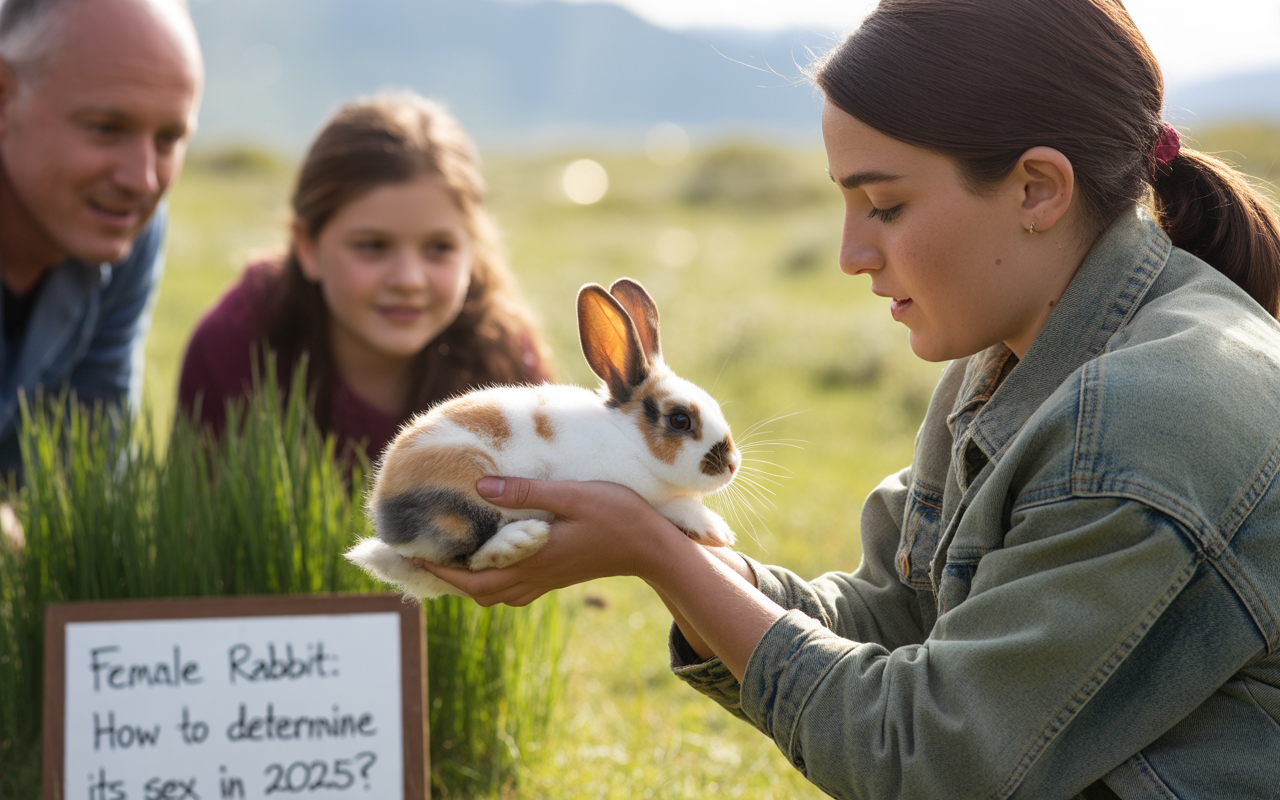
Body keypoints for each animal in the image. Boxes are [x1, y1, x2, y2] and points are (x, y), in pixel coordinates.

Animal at [345, 278, 741, 599]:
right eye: (680, 419)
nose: (732, 465)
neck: (628, 439)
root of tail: (389, 525)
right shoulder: (630, 488)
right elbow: (669, 506)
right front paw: (714, 529)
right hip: (461, 502)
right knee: (468, 560)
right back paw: (522, 540)